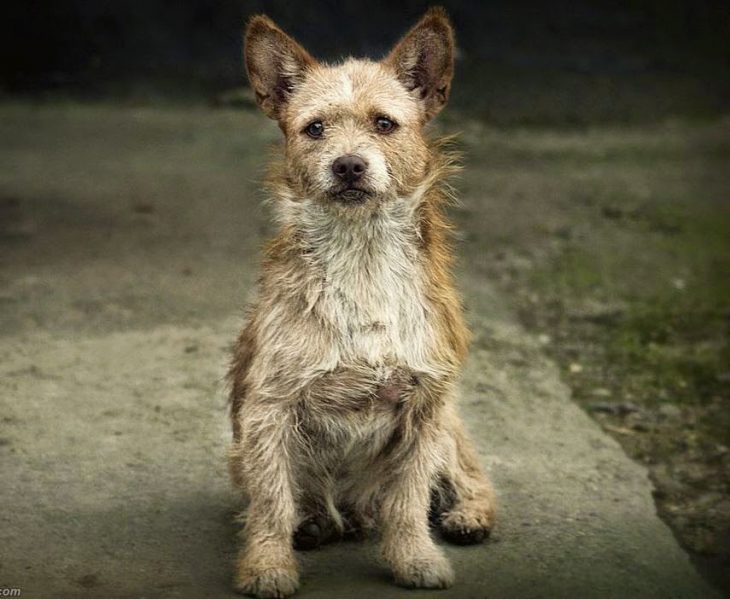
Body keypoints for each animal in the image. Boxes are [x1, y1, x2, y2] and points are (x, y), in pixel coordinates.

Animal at [228, 7, 494, 596]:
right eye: (315, 128)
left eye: (384, 124)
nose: (348, 165)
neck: (362, 255)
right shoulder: (267, 411)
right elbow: (271, 503)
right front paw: (268, 565)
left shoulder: (425, 408)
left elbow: (409, 501)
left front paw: (415, 558)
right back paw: (312, 525)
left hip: (450, 428)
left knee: (470, 474)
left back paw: (469, 514)